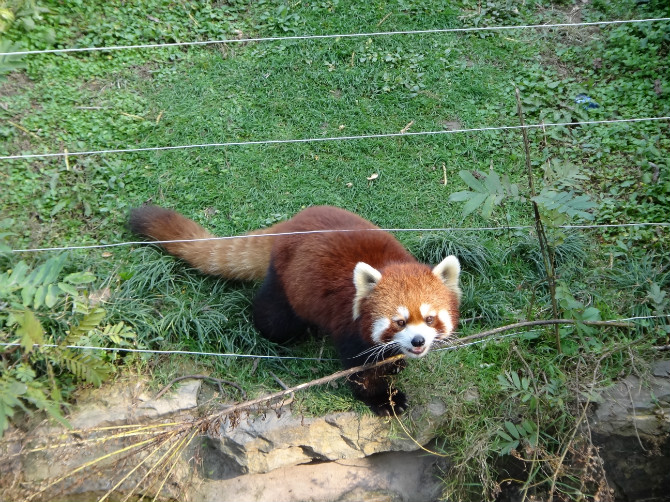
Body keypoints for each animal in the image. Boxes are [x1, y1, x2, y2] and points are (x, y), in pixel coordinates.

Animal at [128, 204, 460, 416]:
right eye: (399, 322)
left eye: (430, 319)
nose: (418, 341)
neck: (390, 265)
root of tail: (289, 224)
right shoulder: (348, 323)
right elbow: (360, 370)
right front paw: (385, 400)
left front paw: (395, 362)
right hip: (286, 286)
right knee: (272, 318)